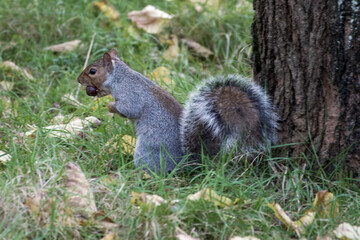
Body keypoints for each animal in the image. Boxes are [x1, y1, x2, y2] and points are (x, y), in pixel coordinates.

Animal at [77, 48, 278, 172]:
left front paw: (110, 106)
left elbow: (129, 109)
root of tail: (185, 163)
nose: (79, 80)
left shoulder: (130, 94)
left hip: (146, 153)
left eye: (92, 71)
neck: (120, 76)